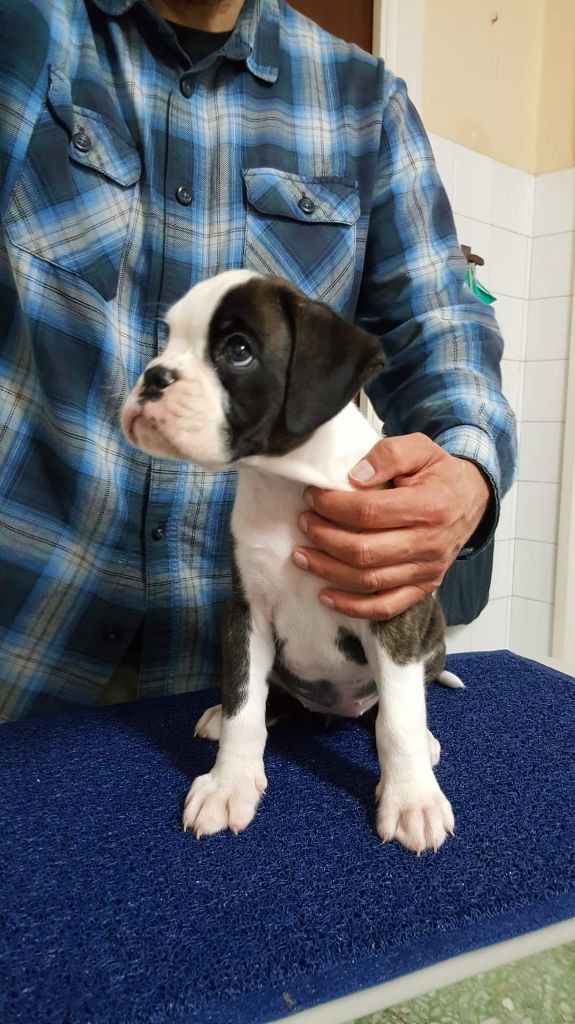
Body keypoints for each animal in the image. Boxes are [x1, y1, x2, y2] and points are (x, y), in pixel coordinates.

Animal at [121, 269, 463, 854]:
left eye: (238, 351)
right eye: (167, 341)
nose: (153, 376)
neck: (286, 480)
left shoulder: (391, 613)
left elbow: (397, 719)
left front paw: (412, 799)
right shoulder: (247, 614)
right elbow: (243, 702)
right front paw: (229, 783)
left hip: (428, 631)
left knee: (397, 703)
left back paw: (426, 741)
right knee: (264, 699)